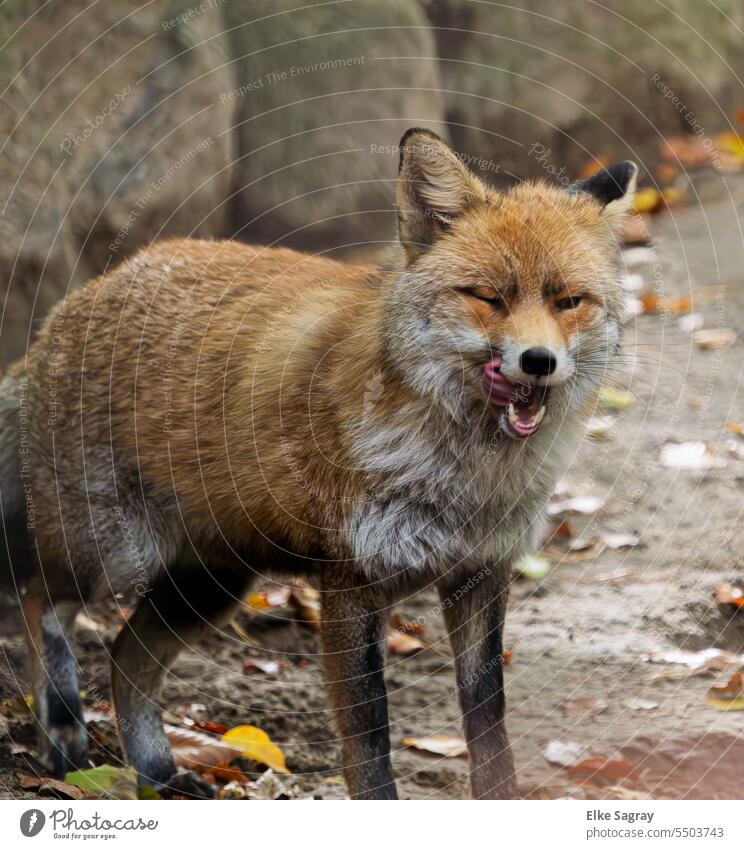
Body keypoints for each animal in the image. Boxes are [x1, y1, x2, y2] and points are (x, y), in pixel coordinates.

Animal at [1, 129, 632, 800]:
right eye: (489, 296)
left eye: (569, 301)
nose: (538, 361)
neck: (468, 478)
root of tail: (75, 302)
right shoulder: (352, 580)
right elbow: (369, 742)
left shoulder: (481, 574)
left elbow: (490, 727)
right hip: (115, 554)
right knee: (39, 600)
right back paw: (62, 732)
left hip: (209, 585)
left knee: (125, 660)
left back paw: (155, 773)